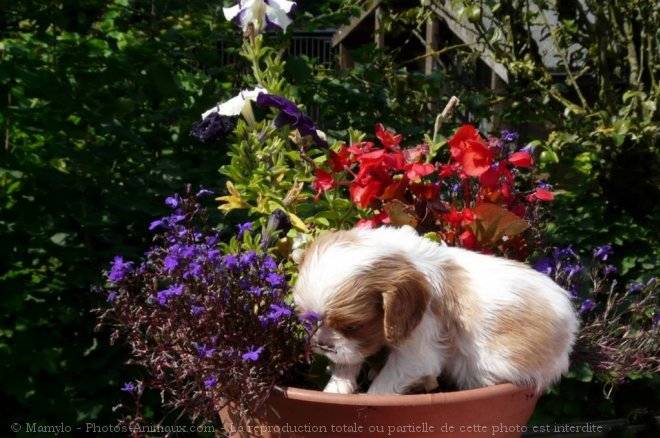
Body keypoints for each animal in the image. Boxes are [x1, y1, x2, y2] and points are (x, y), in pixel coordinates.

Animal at [292, 228, 576, 396]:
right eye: (311, 323)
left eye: (352, 327)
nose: (323, 344)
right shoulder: (353, 348)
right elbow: (347, 362)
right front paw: (335, 391)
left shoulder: (419, 345)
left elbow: (383, 387)